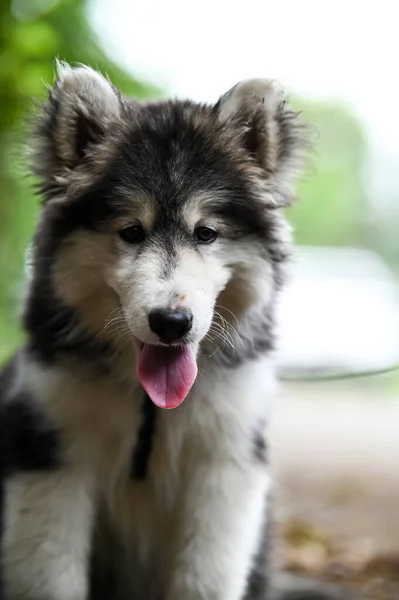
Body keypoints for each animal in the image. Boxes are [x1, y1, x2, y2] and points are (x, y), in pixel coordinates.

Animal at [0, 62, 350, 600]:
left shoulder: (226, 465)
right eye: (130, 231)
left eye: (206, 233)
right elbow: (51, 574)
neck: (152, 408)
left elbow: (206, 577)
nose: (171, 322)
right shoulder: (50, 456)